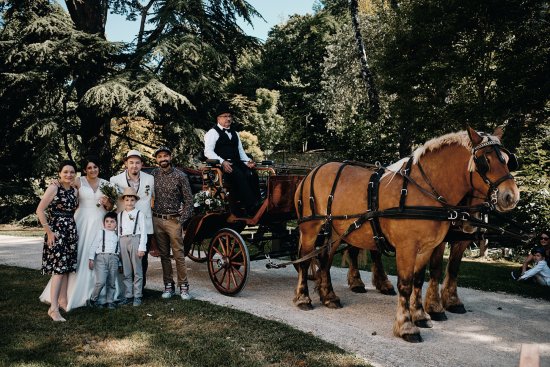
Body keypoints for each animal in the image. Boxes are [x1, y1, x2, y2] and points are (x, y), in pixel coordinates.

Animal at [296, 128, 520, 344]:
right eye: (484, 160)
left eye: (507, 160)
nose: (511, 196)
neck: (423, 191)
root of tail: (312, 171)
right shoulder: (407, 247)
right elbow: (405, 284)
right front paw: (406, 326)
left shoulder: (428, 247)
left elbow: (420, 280)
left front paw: (421, 315)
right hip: (310, 228)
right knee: (305, 262)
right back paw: (303, 298)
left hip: (336, 231)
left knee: (325, 259)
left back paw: (329, 296)